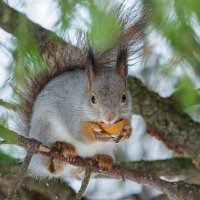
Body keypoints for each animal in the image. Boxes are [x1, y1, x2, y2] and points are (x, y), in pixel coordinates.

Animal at [15, 1, 144, 180]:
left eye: (124, 97)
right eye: (93, 99)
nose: (110, 117)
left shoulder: (128, 111)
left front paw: (127, 130)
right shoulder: (70, 110)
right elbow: (78, 132)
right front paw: (95, 132)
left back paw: (101, 159)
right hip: (46, 130)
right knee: (51, 166)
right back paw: (61, 151)